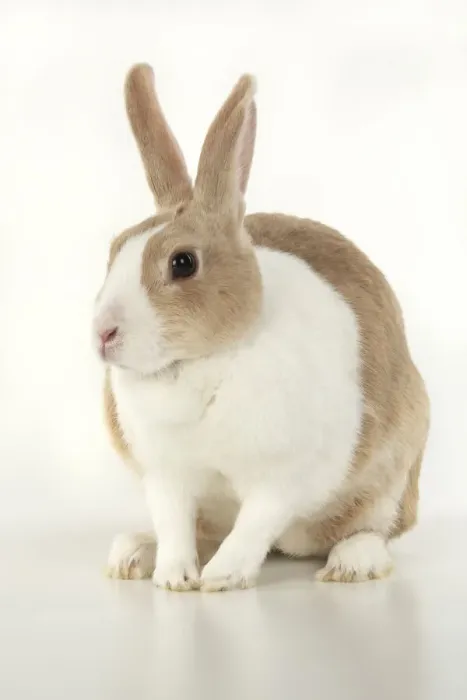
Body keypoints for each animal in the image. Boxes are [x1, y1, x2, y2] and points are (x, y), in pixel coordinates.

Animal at [94, 63, 429, 591]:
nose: (103, 333)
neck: (200, 365)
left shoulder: (284, 477)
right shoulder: (166, 476)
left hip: (393, 478)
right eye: (113, 251)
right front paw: (174, 577)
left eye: (183, 263)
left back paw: (352, 563)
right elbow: (173, 524)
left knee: (372, 529)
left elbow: (255, 522)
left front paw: (221, 578)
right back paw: (133, 553)